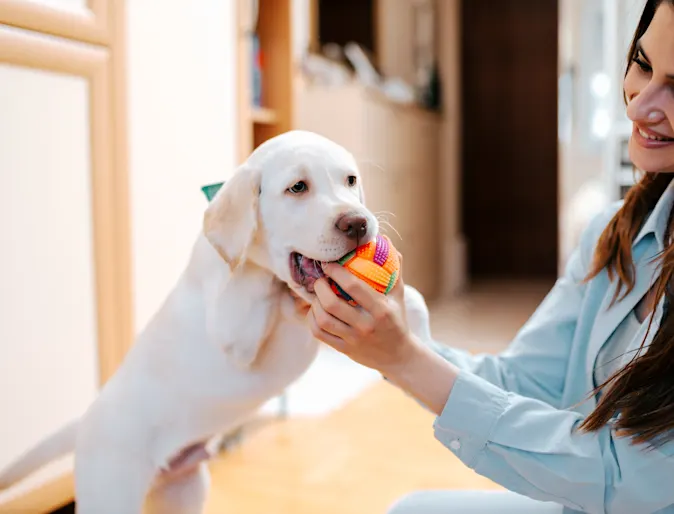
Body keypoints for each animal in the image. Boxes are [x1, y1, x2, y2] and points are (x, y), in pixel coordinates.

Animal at [0, 129, 430, 512]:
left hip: (184, 493)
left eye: (350, 180)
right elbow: (260, 287)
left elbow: (416, 299)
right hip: (110, 489)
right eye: (297, 188)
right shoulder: (234, 332)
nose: (359, 223)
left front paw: (420, 341)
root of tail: (88, 415)